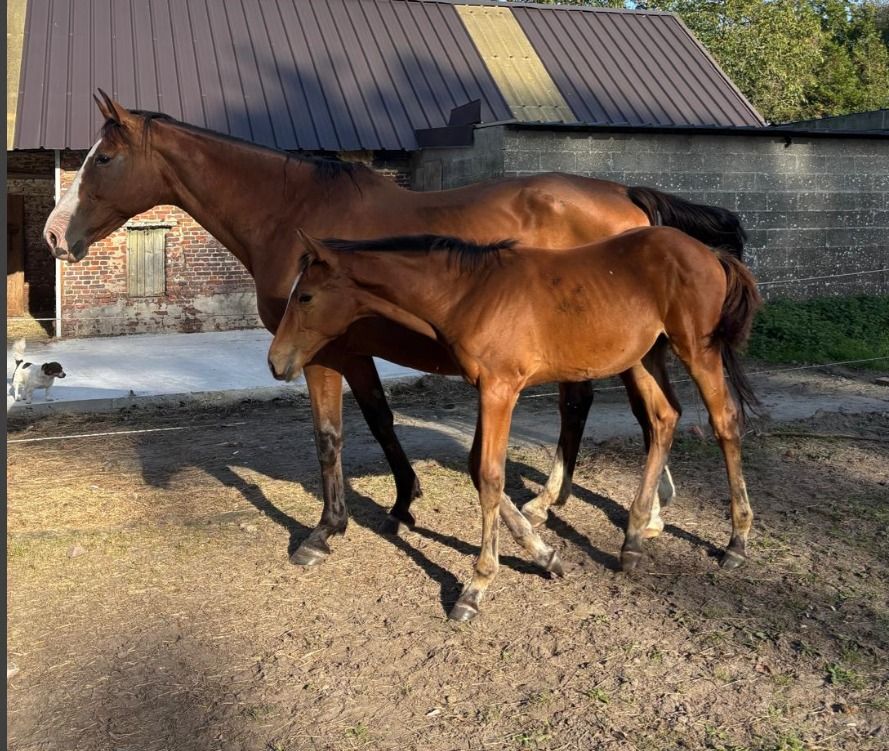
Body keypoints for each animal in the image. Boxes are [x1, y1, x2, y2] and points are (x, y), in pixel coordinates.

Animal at [44, 90, 748, 567]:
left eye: (104, 158)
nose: (54, 235)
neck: (292, 213)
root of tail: (627, 198)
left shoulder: (319, 352)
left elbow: (330, 436)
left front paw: (325, 531)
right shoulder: (353, 353)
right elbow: (380, 421)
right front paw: (405, 502)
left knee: (640, 414)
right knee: (640, 413)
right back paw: (624, 516)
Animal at [269, 228, 761, 621]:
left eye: (305, 296)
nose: (276, 362)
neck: (471, 293)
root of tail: (709, 252)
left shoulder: (500, 389)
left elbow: (489, 477)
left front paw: (476, 587)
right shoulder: (486, 391)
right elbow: (477, 468)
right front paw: (546, 556)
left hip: (696, 349)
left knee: (724, 422)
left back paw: (736, 542)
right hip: (643, 355)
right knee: (663, 419)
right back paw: (634, 539)